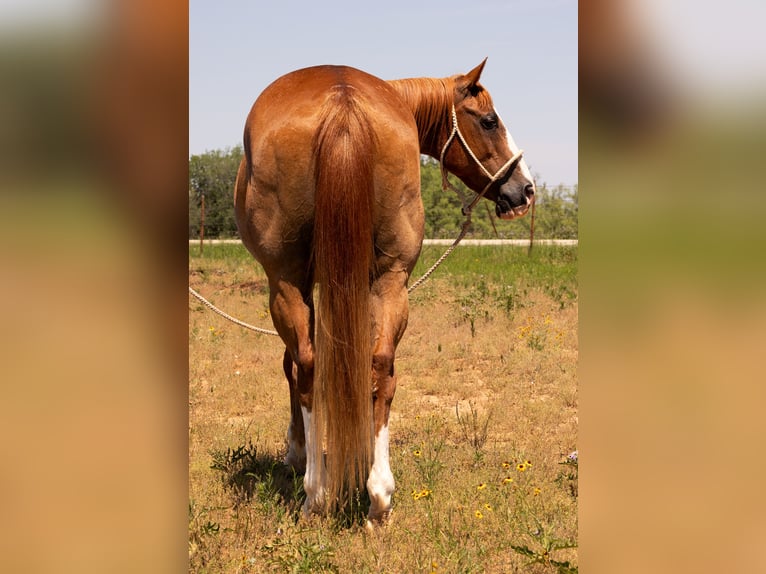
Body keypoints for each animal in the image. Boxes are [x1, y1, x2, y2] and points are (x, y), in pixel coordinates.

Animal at [234, 58, 536, 528]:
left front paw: (298, 451)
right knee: (380, 367)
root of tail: (342, 100)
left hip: (288, 281)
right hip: (389, 280)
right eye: (489, 120)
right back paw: (377, 495)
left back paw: (316, 494)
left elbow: (292, 365)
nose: (524, 189)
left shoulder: (289, 283)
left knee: (309, 365)